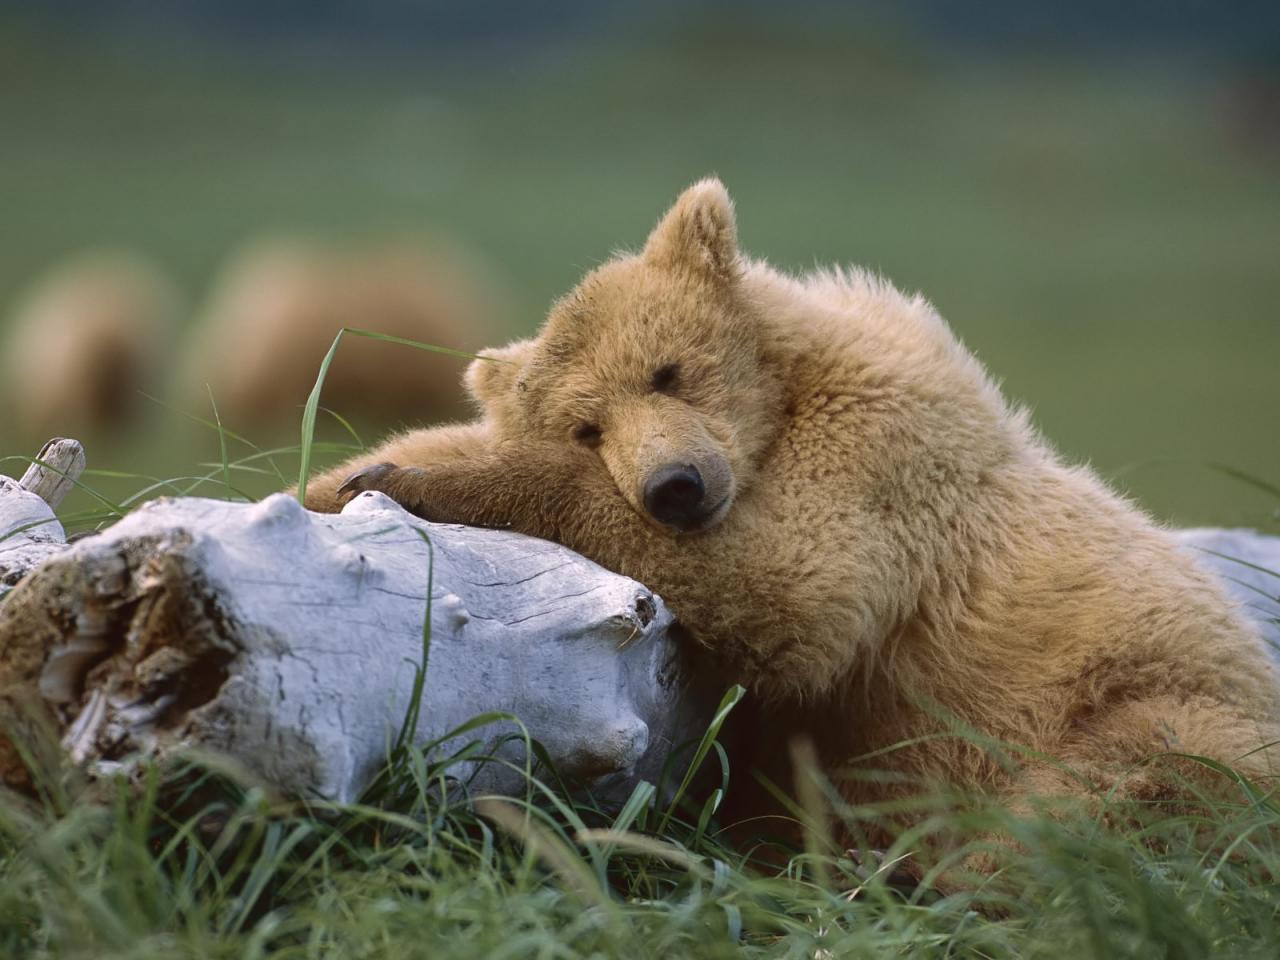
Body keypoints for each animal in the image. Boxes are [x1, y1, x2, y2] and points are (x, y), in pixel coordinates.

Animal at [302, 181, 1280, 839]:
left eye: (667, 370)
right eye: (588, 425)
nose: (676, 487)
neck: (784, 402)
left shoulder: (883, 456)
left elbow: (789, 586)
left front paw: (421, 482)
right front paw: (344, 475)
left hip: (1147, 703)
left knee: (1121, 787)